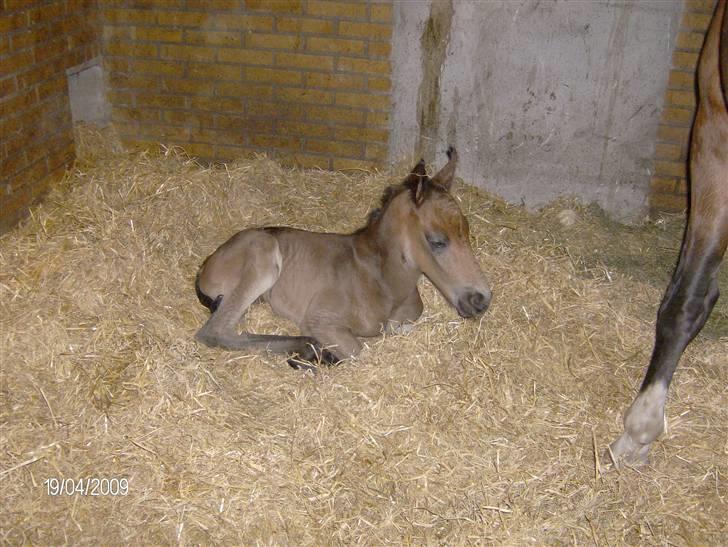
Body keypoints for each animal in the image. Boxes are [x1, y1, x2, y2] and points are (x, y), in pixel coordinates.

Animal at [195, 149, 490, 372]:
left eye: (467, 232)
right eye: (437, 241)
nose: (481, 300)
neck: (382, 280)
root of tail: (207, 263)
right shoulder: (322, 321)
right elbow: (360, 352)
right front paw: (316, 358)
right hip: (263, 255)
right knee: (215, 331)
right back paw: (309, 348)